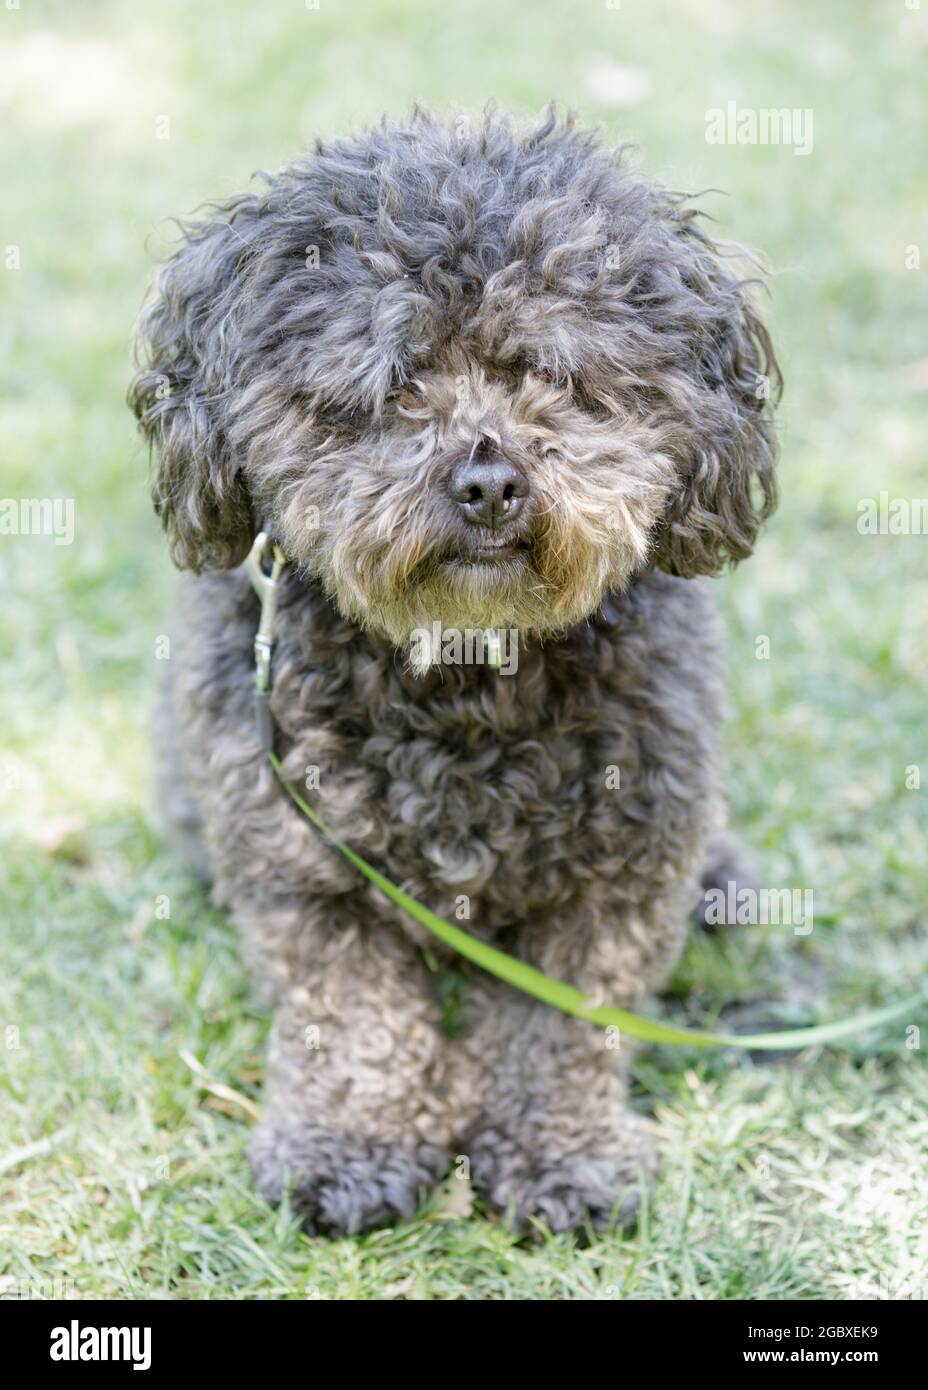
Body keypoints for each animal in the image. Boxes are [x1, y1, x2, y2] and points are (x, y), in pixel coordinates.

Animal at [130, 111, 777, 1239]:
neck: (464, 664)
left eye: (556, 374)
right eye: (388, 384)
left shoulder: (617, 868)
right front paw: (348, 1150)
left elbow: (565, 1028)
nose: (487, 484)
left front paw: (562, 1158)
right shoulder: (301, 866)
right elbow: (349, 1020)